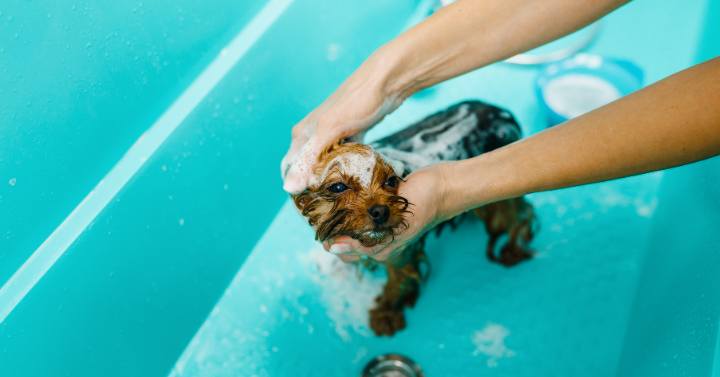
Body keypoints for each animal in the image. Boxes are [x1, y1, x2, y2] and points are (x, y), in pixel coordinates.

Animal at [292, 100, 536, 334]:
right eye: (338, 187)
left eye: (391, 181)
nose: (380, 211)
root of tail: (501, 112)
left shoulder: (400, 251)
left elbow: (398, 281)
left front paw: (386, 314)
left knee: (517, 213)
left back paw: (512, 250)